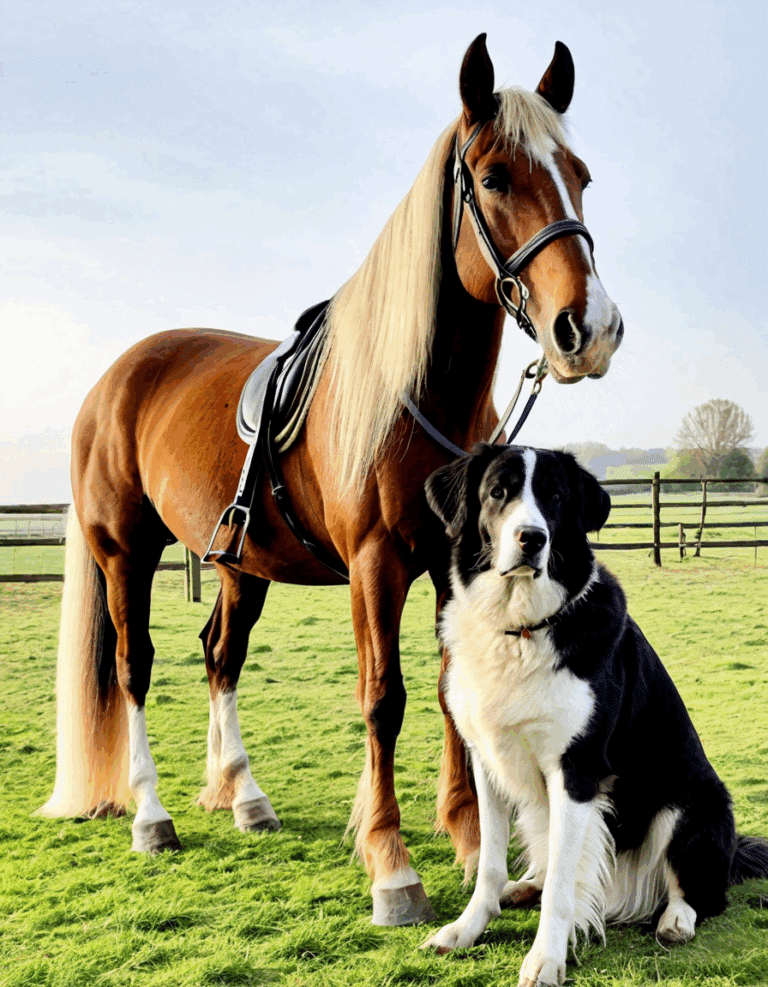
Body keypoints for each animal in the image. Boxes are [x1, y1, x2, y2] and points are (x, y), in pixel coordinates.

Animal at [38, 34, 623, 925]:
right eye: (493, 178)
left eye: (580, 175)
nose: (587, 329)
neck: (415, 391)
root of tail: (114, 380)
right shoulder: (376, 565)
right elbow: (385, 697)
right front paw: (392, 865)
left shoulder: (450, 570)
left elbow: (449, 693)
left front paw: (467, 842)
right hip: (123, 553)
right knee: (136, 666)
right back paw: (152, 815)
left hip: (240, 566)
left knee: (220, 656)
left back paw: (244, 796)